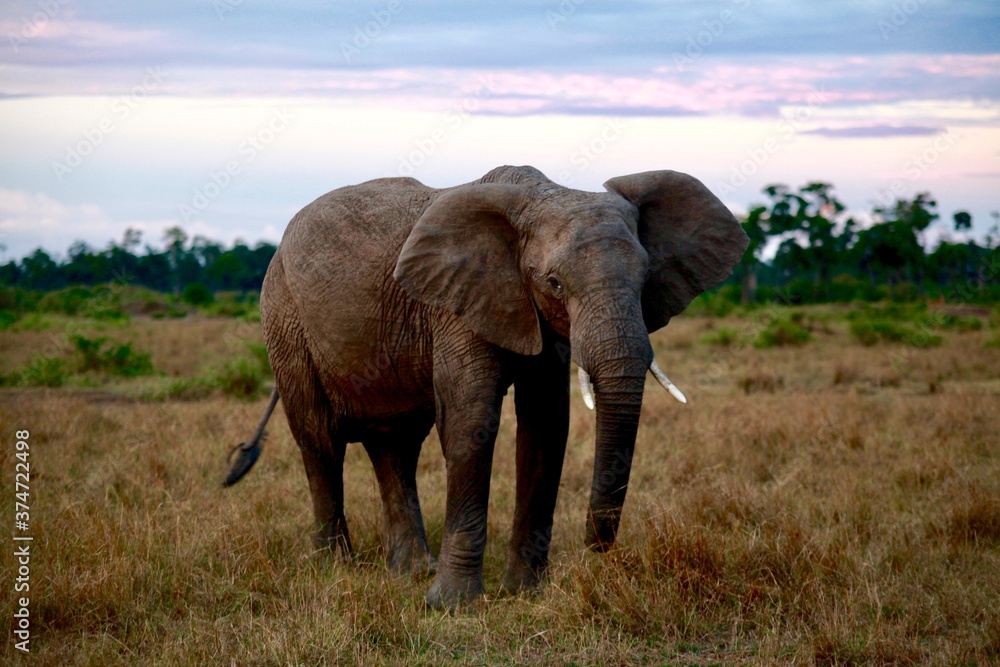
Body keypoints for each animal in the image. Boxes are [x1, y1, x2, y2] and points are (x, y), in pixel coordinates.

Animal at [224, 165, 748, 609]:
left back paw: (412, 571)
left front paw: (524, 593)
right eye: (554, 283)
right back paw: (338, 571)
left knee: (394, 446)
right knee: (320, 441)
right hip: (284, 318)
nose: (596, 551)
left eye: (645, 282)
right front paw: (453, 606)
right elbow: (471, 420)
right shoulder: (455, 305)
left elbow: (545, 424)